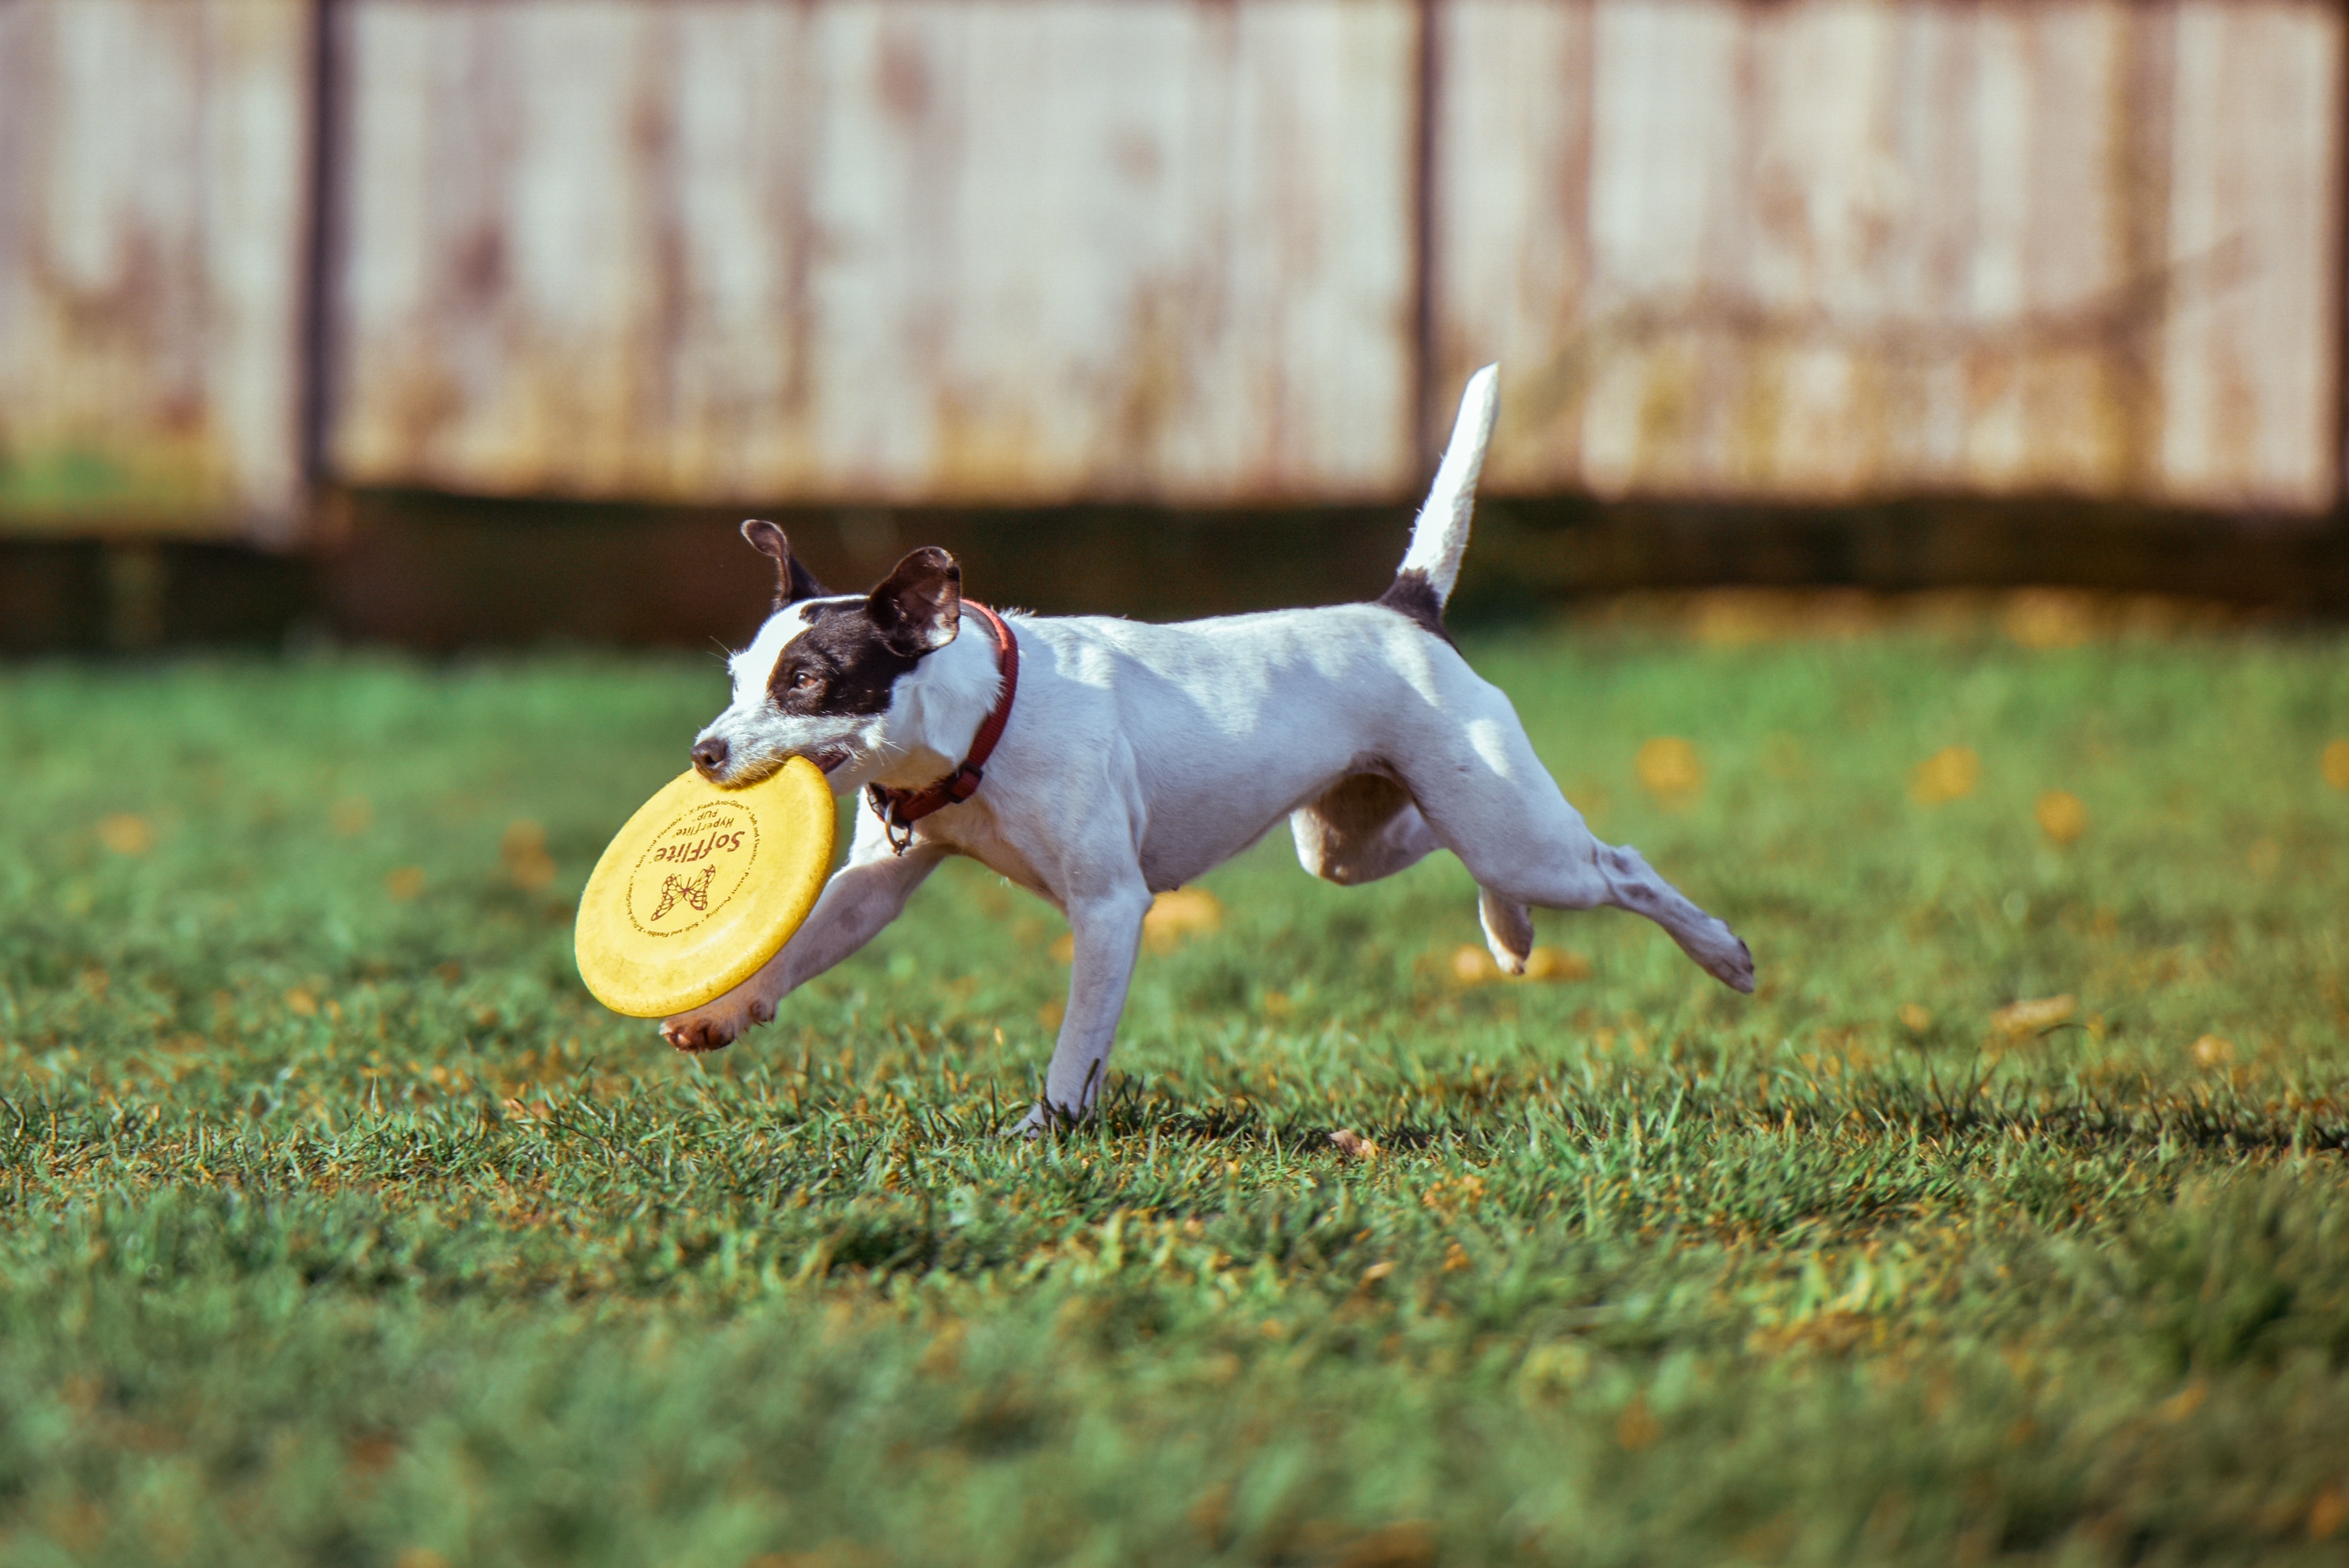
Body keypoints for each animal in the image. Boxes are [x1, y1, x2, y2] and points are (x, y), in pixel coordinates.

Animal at [657, 369, 1747, 1128]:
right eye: (737, 678)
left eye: (806, 682)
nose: (705, 752)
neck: (983, 726)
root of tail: (1404, 611)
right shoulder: (874, 884)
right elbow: (803, 944)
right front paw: (726, 1009)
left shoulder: (1109, 909)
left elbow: (1077, 1044)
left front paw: (1045, 1129)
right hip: (1353, 840)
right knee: (1448, 848)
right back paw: (1507, 931)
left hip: (1517, 833)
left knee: (1619, 865)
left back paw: (1720, 952)